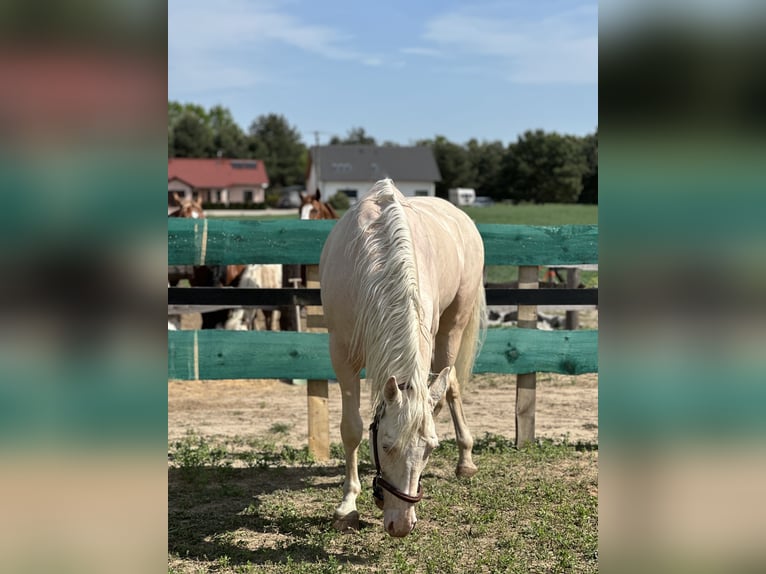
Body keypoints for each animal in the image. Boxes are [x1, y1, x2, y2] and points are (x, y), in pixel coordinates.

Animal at [318, 180, 486, 540]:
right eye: (387, 446)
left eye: (430, 449)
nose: (402, 525)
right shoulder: (341, 353)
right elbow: (351, 429)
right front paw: (347, 507)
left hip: (453, 325)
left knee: (450, 386)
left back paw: (465, 459)